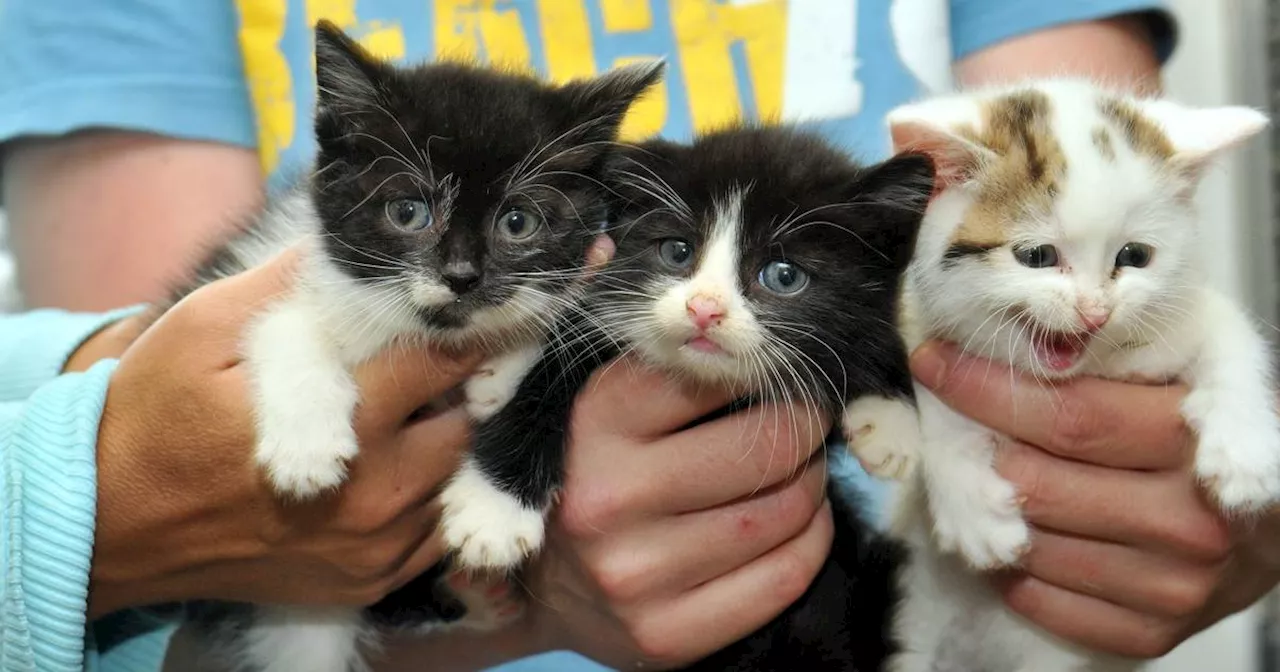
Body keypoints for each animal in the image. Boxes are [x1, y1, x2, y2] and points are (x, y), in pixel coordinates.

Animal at [171, 20, 665, 670]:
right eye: (408, 211)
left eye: (518, 222)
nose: (461, 276)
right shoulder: (260, 268)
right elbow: (283, 324)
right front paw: (306, 450)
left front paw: (504, 368)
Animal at [471, 125, 942, 670]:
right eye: (677, 252)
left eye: (784, 275)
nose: (704, 309)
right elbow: (557, 361)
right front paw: (492, 511)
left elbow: (875, 328)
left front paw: (891, 422)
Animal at [880, 80, 1280, 670]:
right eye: (1037, 256)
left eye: (1134, 256)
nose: (1096, 311)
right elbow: (925, 400)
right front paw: (972, 508)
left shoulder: (1177, 319)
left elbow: (1229, 333)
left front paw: (1244, 454)